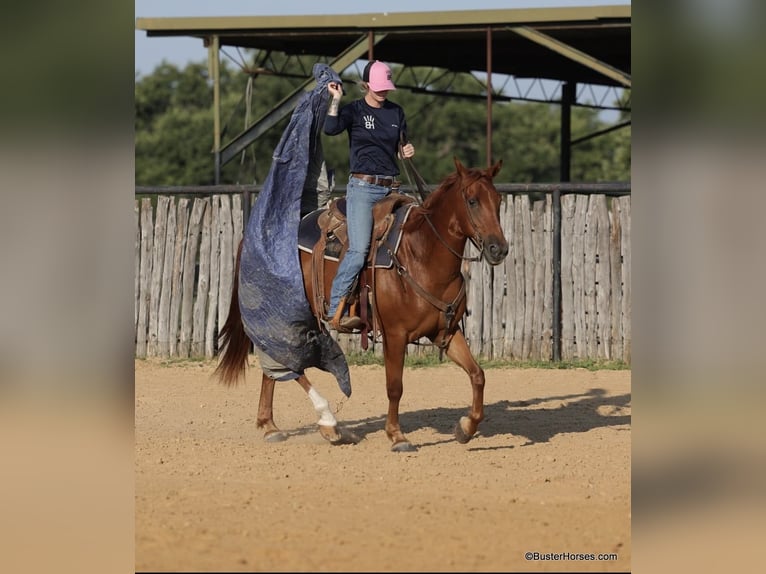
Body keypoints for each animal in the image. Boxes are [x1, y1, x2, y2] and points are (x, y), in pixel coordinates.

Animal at [214, 158, 510, 454]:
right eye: (472, 201)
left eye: (498, 200)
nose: (499, 249)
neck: (420, 256)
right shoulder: (395, 335)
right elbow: (395, 386)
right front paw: (397, 436)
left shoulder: (445, 334)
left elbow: (478, 374)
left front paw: (466, 427)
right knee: (290, 364)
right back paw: (329, 423)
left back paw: (270, 426)